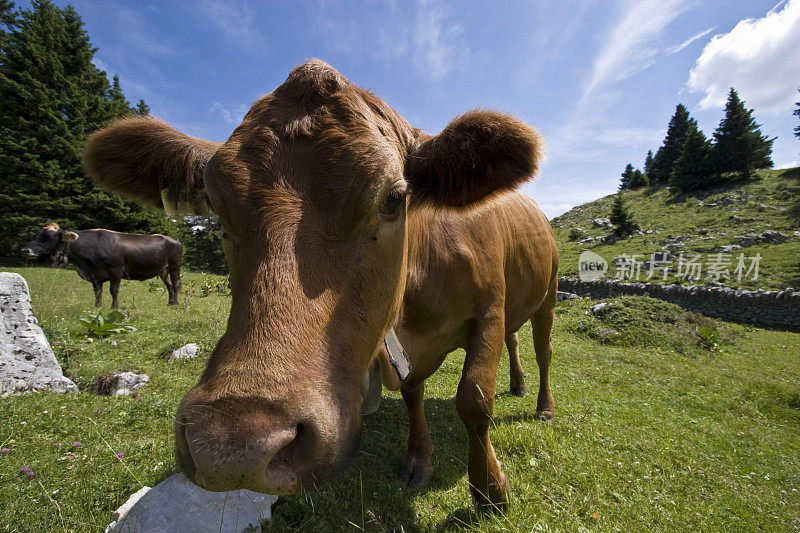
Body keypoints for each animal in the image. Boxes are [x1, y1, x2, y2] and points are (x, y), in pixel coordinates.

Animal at [83, 60, 556, 510]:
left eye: (393, 199)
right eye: (216, 207)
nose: (233, 448)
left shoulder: (489, 310)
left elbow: (474, 400)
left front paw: (490, 491)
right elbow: (413, 392)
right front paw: (419, 459)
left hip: (548, 295)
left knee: (542, 349)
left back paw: (543, 406)